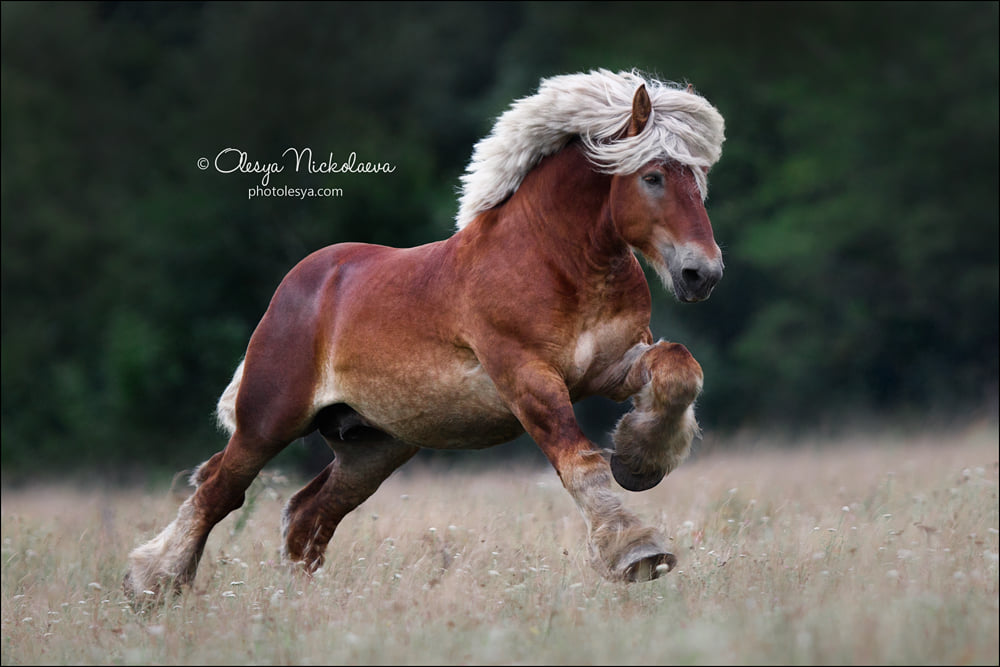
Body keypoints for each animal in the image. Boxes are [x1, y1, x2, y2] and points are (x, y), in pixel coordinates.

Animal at [123, 70, 728, 604]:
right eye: (653, 177)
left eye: (698, 179)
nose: (703, 274)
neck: (554, 260)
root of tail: (297, 288)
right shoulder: (526, 376)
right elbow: (577, 457)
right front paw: (637, 551)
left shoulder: (610, 364)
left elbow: (679, 369)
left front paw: (641, 460)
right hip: (268, 421)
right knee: (218, 491)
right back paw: (149, 584)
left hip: (372, 445)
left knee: (306, 516)